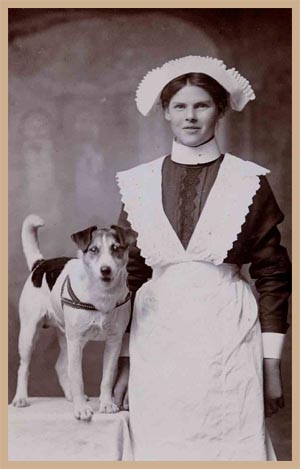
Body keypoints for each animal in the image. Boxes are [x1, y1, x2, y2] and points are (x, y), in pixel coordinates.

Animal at [12, 214, 135, 422]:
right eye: (93, 249)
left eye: (116, 248)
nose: (105, 270)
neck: (102, 295)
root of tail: (40, 264)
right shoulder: (76, 341)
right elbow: (77, 377)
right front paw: (81, 409)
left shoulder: (114, 342)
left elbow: (107, 378)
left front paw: (106, 404)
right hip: (30, 333)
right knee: (24, 367)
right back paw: (21, 398)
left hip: (66, 336)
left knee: (61, 366)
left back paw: (71, 396)